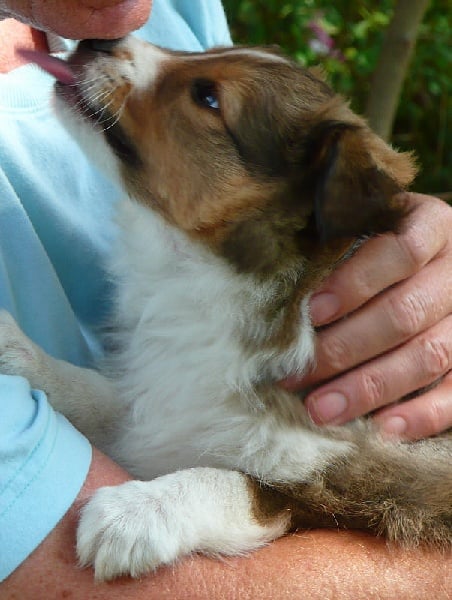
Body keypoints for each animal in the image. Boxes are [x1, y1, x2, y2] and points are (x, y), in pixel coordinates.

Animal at [2, 35, 448, 580]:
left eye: (208, 98)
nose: (95, 41)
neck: (215, 275)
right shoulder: (174, 396)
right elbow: (111, 398)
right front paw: (20, 351)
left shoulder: (375, 481)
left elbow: (240, 482)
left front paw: (132, 513)